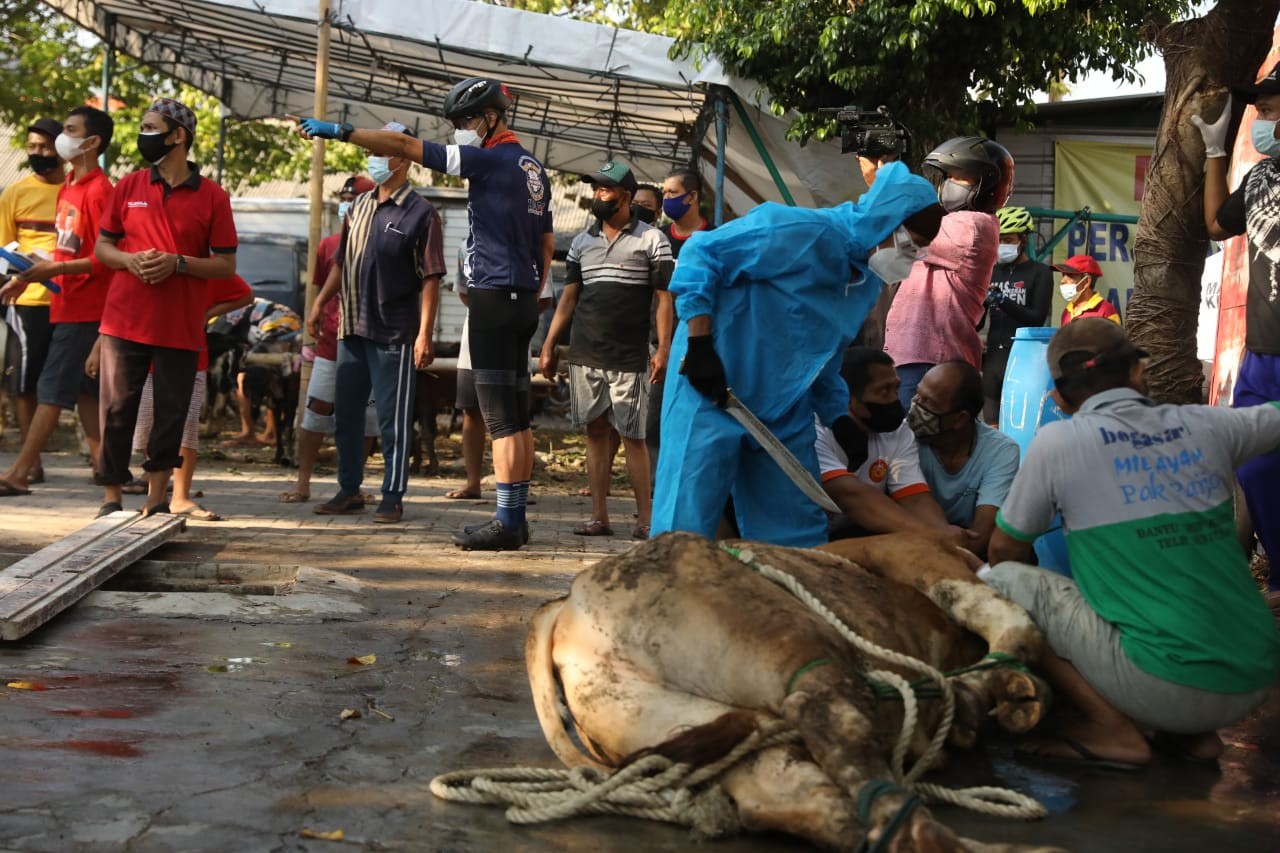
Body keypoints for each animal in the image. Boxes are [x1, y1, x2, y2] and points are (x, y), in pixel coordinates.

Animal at [524, 527, 1054, 845]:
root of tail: (568, 603)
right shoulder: (922, 560)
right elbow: (1019, 626)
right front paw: (989, 697)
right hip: (790, 640)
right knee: (832, 720)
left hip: (645, 709)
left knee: (800, 797)